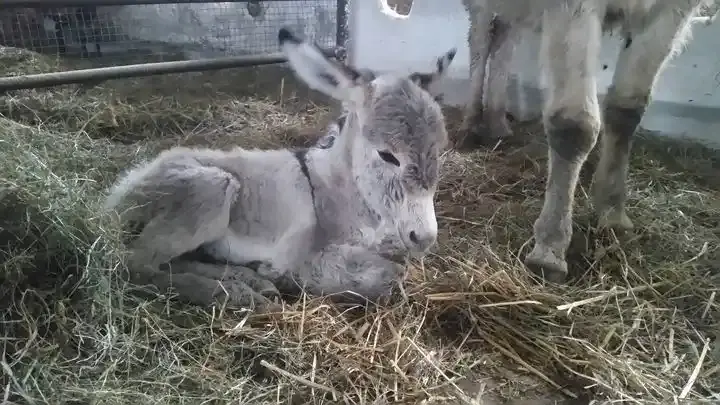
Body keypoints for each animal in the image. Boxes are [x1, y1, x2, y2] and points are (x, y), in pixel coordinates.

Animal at [105, 26, 456, 308]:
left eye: (439, 150)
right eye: (387, 155)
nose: (424, 237)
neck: (333, 191)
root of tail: (117, 194)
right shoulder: (310, 259)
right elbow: (393, 275)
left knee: (169, 262)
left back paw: (247, 282)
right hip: (211, 188)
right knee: (137, 265)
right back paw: (236, 293)